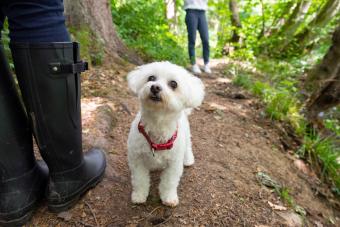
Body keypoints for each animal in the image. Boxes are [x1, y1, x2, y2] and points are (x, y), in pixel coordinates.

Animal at [126, 61, 203, 207]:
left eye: (173, 84)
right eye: (151, 78)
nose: (155, 87)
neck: (158, 123)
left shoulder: (174, 163)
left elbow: (169, 182)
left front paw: (169, 198)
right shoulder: (137, 159)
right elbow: (140, 180)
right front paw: (139, 195)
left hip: (186, 136)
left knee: (188, 147)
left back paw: (188, 160)